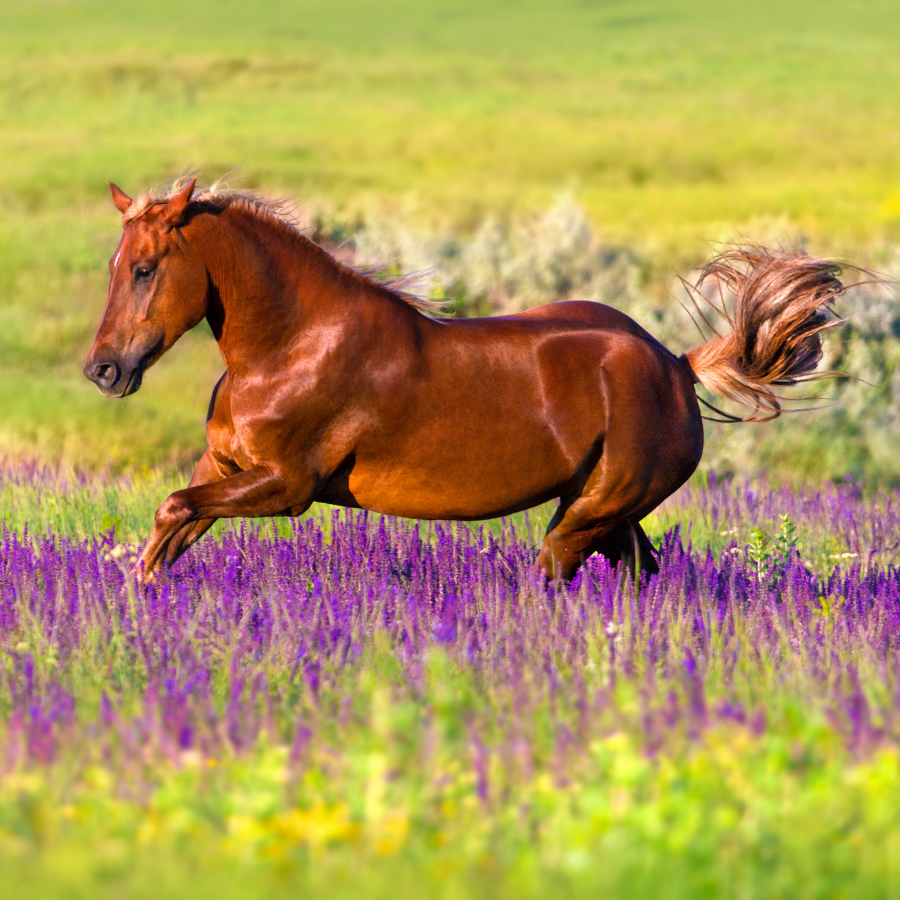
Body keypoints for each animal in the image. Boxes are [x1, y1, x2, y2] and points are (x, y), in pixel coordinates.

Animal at [84, 177, 847, 582]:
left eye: (145, 268)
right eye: (115, 263)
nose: (104, 370)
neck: (290, 347)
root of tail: (676, 369)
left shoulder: (287, 487)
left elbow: (173, 510)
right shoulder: (226, 466)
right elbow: (171, 529)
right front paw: (140, 600)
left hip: (588, 515)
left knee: (557, 578)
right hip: (610, 513)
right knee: (643, 575)